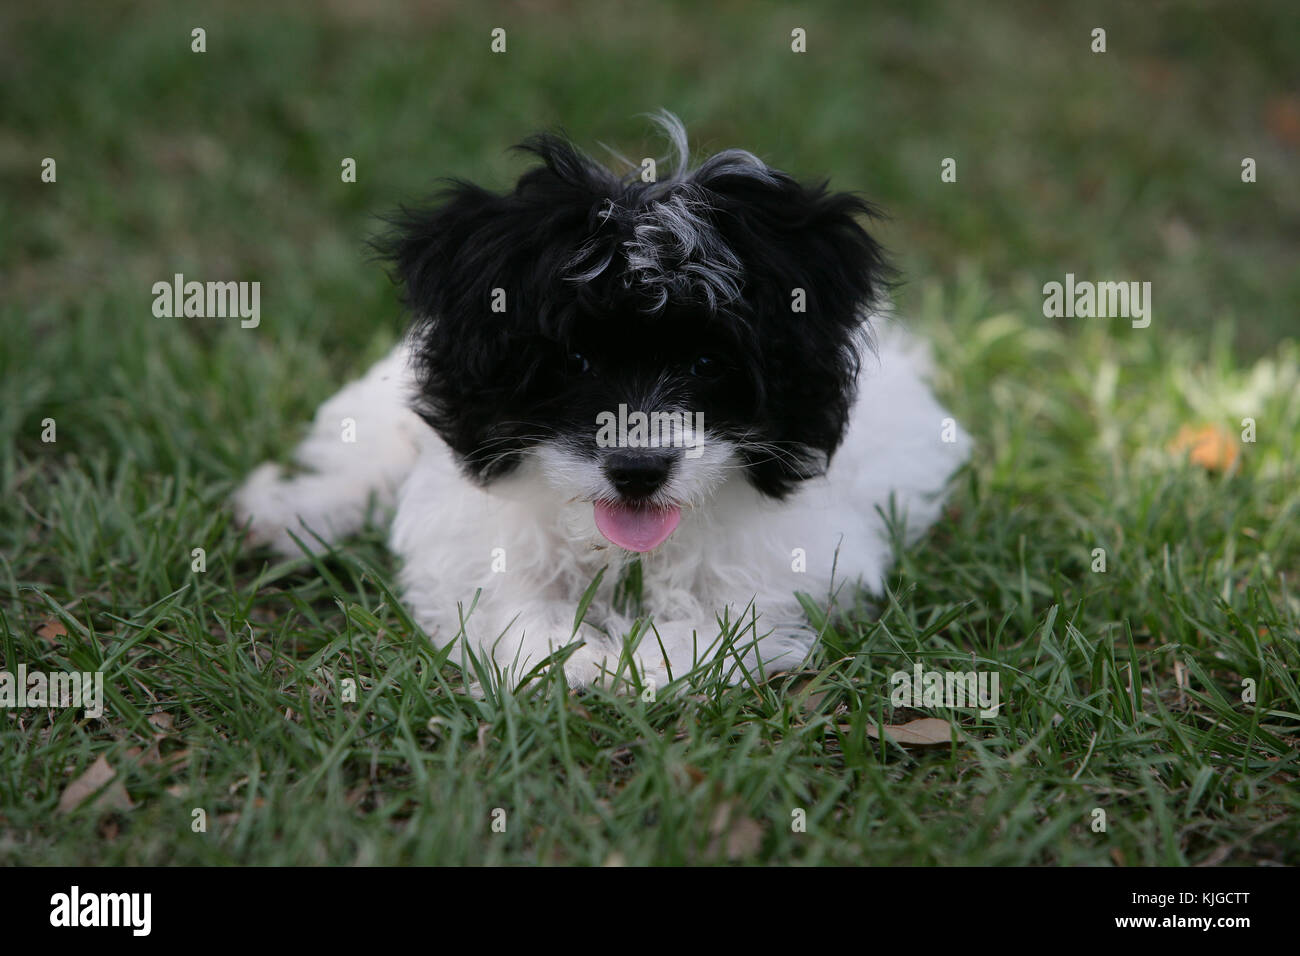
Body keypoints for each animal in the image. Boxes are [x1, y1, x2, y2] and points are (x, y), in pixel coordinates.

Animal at [233, 115, 972, 691]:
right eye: (575, 362)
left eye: (707, 364)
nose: (638, 471)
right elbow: (512, 604)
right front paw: (568, 659)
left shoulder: (787, 566)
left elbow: (721, 622)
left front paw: (638, 664)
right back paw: (293, 513)